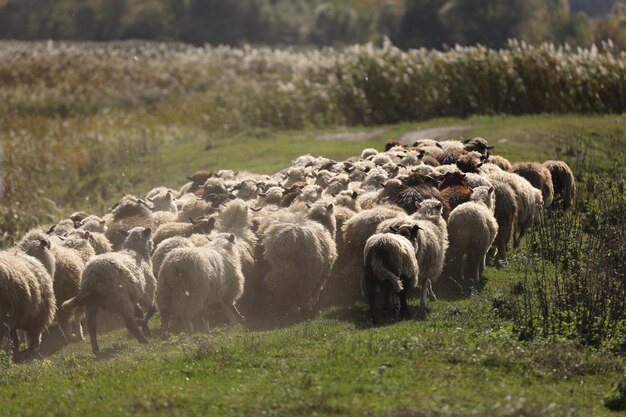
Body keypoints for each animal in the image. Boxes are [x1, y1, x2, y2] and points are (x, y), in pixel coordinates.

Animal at [0, 231, 56, 360]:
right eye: (48, 243)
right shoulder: (39, 315)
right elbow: (34, 340)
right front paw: (27, 353)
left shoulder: (14, 316)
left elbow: (14, 339)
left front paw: (16, 354)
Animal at [59, 226, 155, 356]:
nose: (153, 245)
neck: (136, 252)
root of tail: (93, 275)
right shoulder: (147, 292)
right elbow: (151, 310)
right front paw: (143, 325)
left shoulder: (133, 295)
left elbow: (140, 311)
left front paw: (146, 329)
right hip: (120, 298)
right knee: (129, 323)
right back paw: (143, 340)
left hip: (92, 303)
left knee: (91, 326)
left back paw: (96, 350)